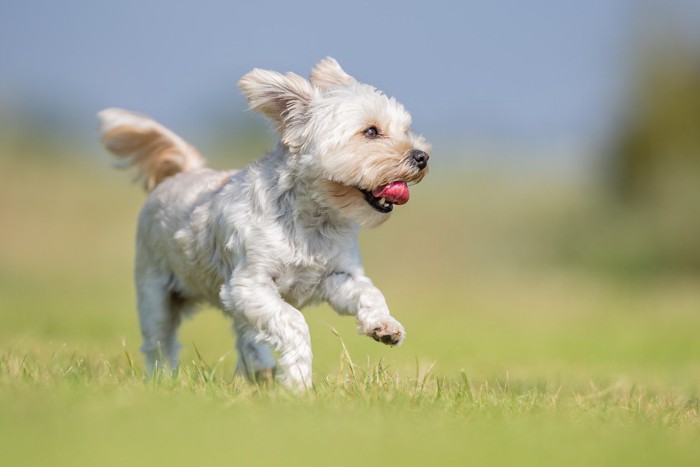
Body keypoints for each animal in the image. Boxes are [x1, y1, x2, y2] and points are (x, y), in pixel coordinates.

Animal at [96, 56, 430, 390]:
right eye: (371, 131)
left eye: (406, 129)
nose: (422, 156)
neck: (314, 220)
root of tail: (184, 172)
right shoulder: (248, 285)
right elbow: (294, 322)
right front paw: (298, 384)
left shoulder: (336, 275)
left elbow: (368, 292)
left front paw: (385, 325)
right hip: (156, 290)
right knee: (159, 340)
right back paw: (162, 377)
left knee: (245, 334)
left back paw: (259, 368)